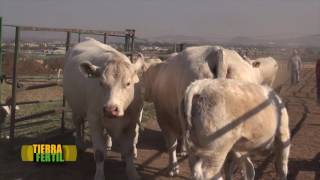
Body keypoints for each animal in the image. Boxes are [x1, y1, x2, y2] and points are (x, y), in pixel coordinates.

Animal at [63, 37, 144, 179]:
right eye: (101, 83)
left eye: (128, 83)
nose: (110, 109)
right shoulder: (94, 120)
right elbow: (99, 153)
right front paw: (99, 175)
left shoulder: (132, 122)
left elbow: (128, 150)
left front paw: (132, 173)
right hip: (76, 106)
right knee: (78, 122)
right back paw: (80, 143)